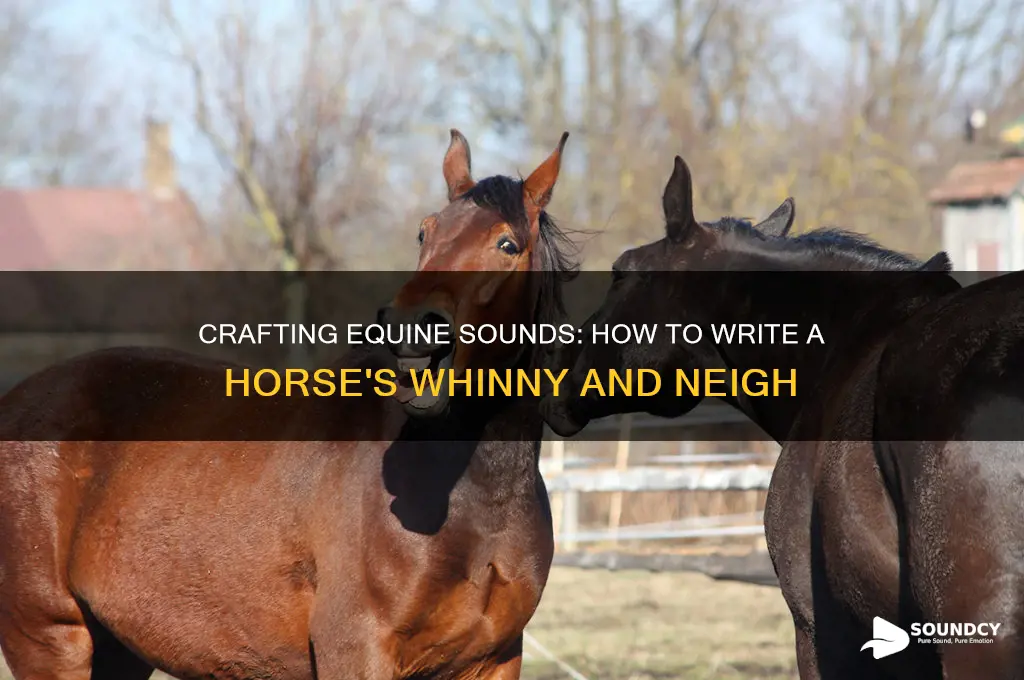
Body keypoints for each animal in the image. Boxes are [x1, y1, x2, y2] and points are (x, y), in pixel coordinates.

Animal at [0, 129, 577, 680]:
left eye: (507, 244)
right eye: (425, 232)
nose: (409, 330)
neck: (470, 499)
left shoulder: (495, 659)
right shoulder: (354, 650)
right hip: (50, 638)